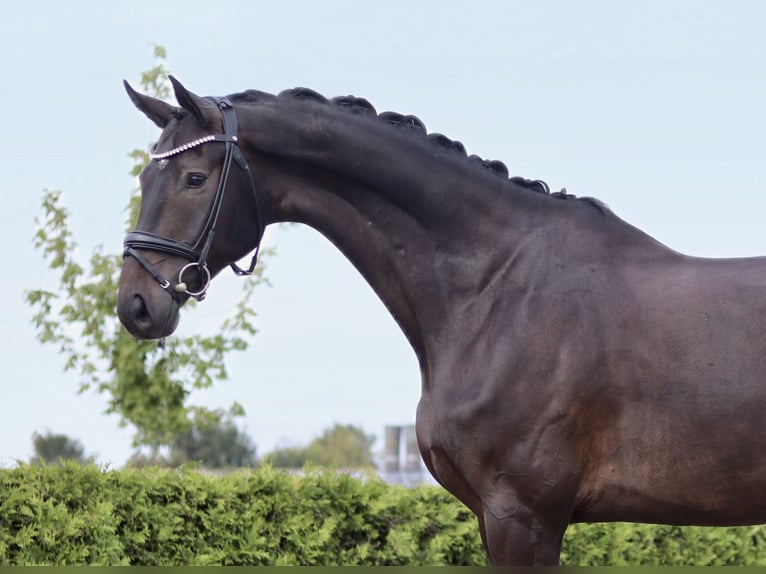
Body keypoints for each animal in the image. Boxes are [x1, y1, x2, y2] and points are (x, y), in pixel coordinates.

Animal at [118, 79, 766, 568]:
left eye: (195, 178)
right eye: (145, 179)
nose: (136, 304)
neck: (496, 290)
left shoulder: (523, 516)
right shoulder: (492, 516)